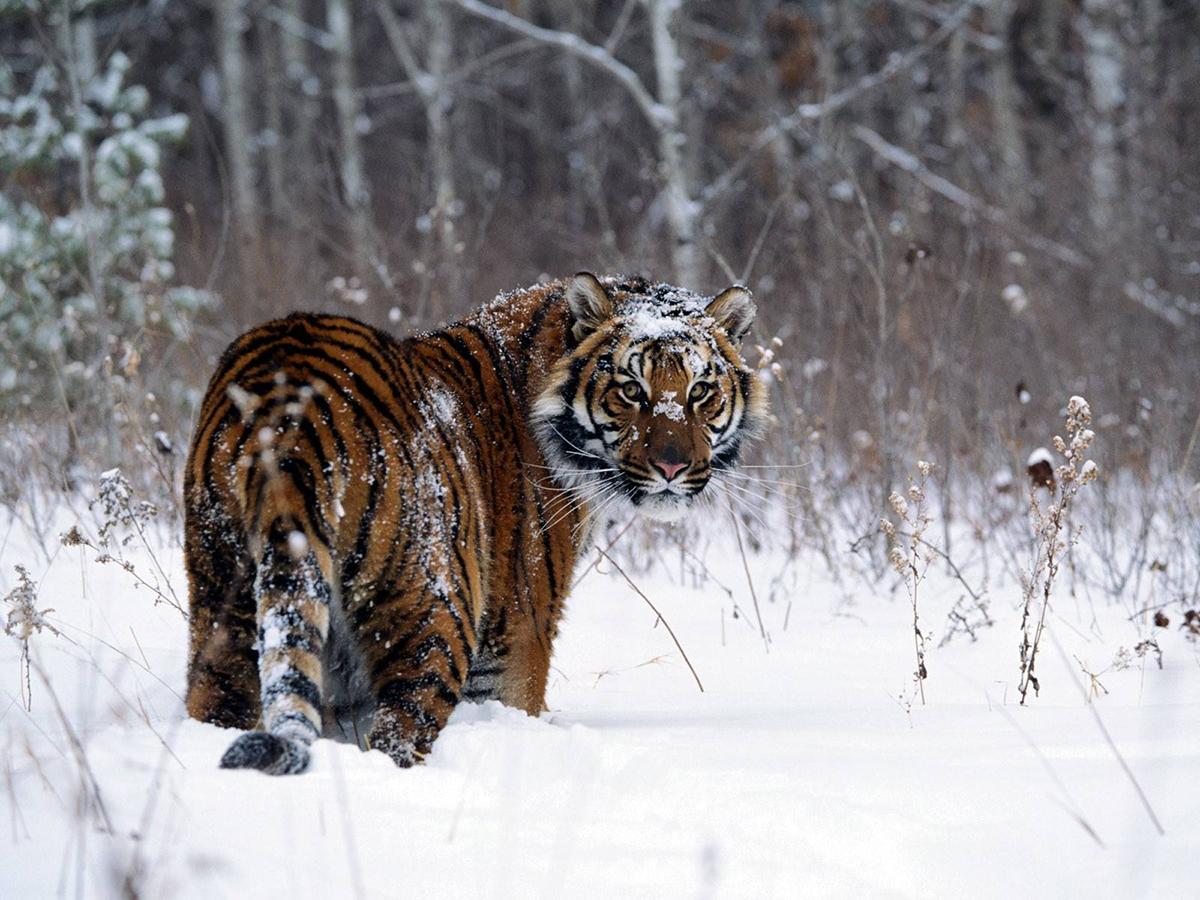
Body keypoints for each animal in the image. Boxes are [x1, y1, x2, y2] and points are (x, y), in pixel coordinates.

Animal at [184, 274, 768, 777]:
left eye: (699, 392)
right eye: (631, 390)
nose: (672, 467)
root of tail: (289, 408)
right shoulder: (516, 636)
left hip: (224, 600)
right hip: (435, 615)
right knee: (399, 734)